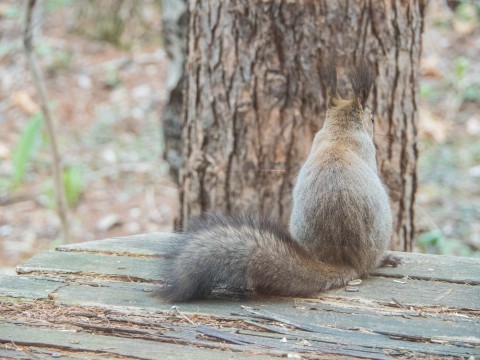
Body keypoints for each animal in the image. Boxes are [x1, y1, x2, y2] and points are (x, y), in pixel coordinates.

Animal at [158, 60, 402, 302]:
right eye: (372, 118)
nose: (375, 126)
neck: (340, 132)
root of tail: (342, 261)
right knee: (368, 268)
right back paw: (383, 260)